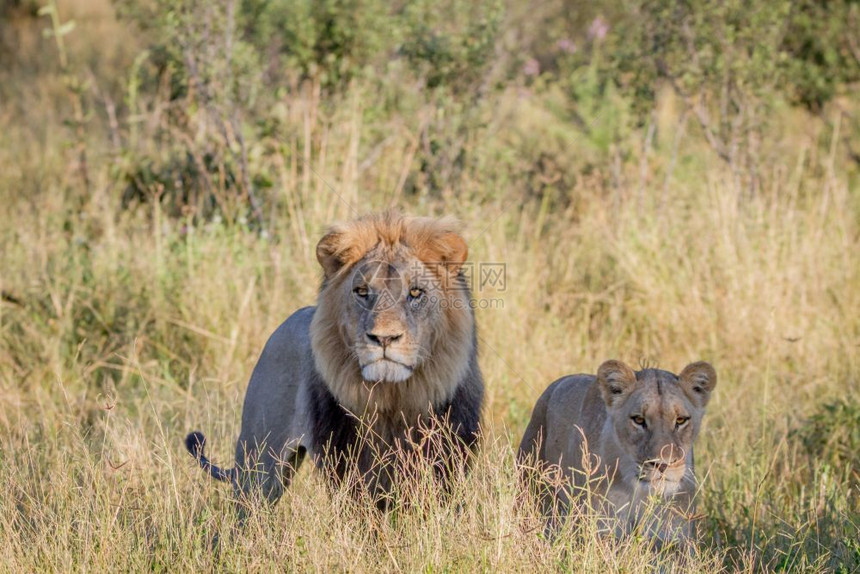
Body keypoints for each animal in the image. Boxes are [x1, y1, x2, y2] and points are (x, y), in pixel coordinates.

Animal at [186, 213, 484, 516]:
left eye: (415, 292)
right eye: (362, 291)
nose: (384, 338)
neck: (394, 397)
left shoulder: (446, 458)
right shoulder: (350, 463)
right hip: (259, 464)